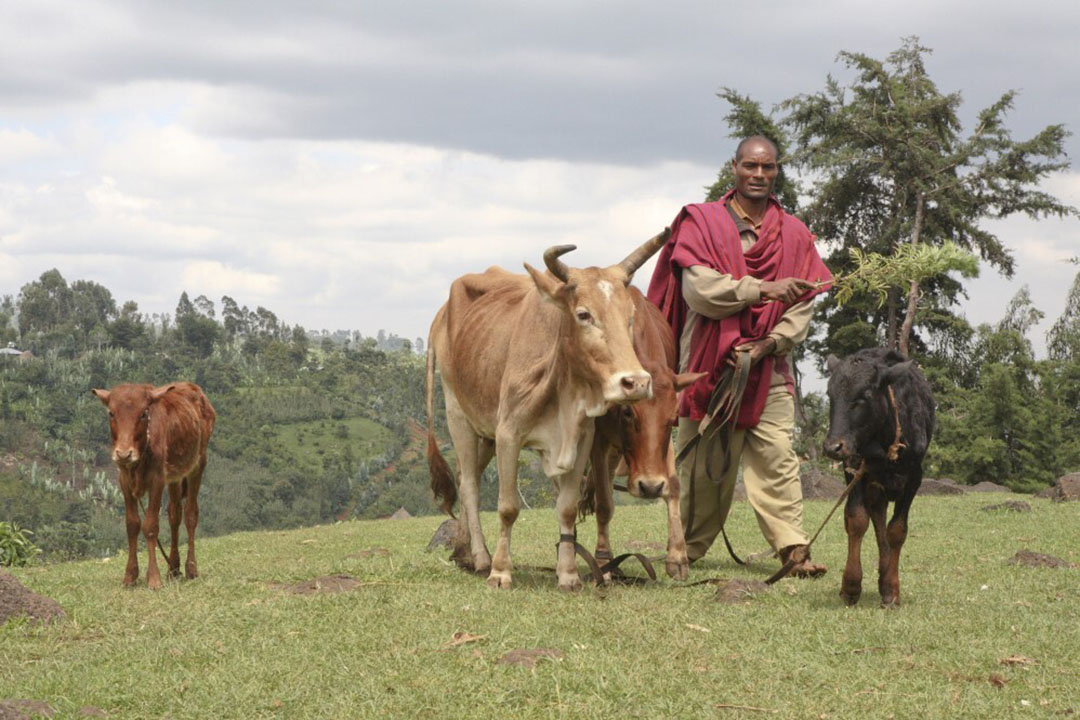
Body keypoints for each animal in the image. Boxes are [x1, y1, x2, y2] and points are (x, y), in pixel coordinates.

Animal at [93, 379, 213, 587]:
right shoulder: (124, 481)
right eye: (111, 413)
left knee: (190, 514)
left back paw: (191, 568)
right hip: (174, 477)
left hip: (198, 465)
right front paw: (130, 576)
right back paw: (173, 568)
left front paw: (154, 578)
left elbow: (150, 526)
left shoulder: (157, 481)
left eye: (143, 414)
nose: (124, 454)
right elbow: (132, 525)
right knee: (174, 515)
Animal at [427, 234, 665, 587]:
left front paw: (568, 574)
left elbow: (566, 507)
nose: (636, 382)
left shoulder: (581, 440)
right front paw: (501, 572)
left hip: (485, 432)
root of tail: (442, 313)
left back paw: (464, 553)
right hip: (458, 414)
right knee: (469, 485)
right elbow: (508, 507)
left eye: (630, 315)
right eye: (583, 314)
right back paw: (481, 558)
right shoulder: (508, 434)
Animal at [587, 284, 704, 578]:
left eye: (673, 417)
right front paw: (603, 562)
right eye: (628, 412)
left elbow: (673, 486)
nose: (650, 487)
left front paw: (677, 555)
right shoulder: (598, 438)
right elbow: (604, 502)